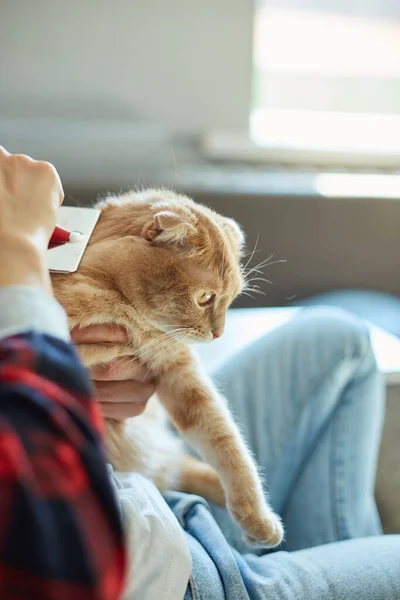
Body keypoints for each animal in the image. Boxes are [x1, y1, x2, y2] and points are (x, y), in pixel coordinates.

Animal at [51, 190, 284, 548]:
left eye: (231, 299)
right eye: (204, 298)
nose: (219, 333)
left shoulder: (180, 371)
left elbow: (226, 442)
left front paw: (256, 516)